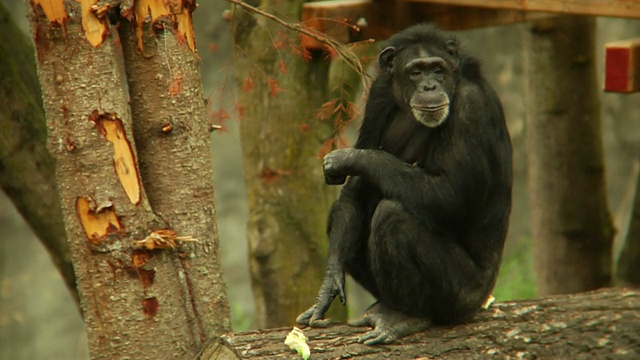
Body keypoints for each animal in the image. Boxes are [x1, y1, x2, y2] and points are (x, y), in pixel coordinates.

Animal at [296, 23, 516, 344]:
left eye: (437, 69)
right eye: (416, 72)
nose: (429, 86)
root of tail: (485, 296)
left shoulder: (471, 108)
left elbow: (451, 194)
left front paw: (347, 158)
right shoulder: (378, 93)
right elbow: (355, 194)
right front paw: (328, 286)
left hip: (465, 295)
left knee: (394, 216)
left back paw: (407, 316)